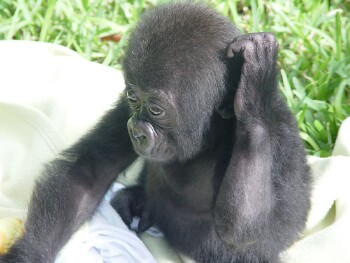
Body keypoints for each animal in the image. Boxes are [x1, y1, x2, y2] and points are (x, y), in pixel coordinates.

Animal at [0, 2, 312, 263]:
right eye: (133, 98)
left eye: (157, 110)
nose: (137, 132)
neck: (212, 137)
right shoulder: (124, 109)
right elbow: (86, 173)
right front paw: (27, 255)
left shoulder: (280, 138)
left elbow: (254, 229)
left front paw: (256, 89)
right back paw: (137, 201)